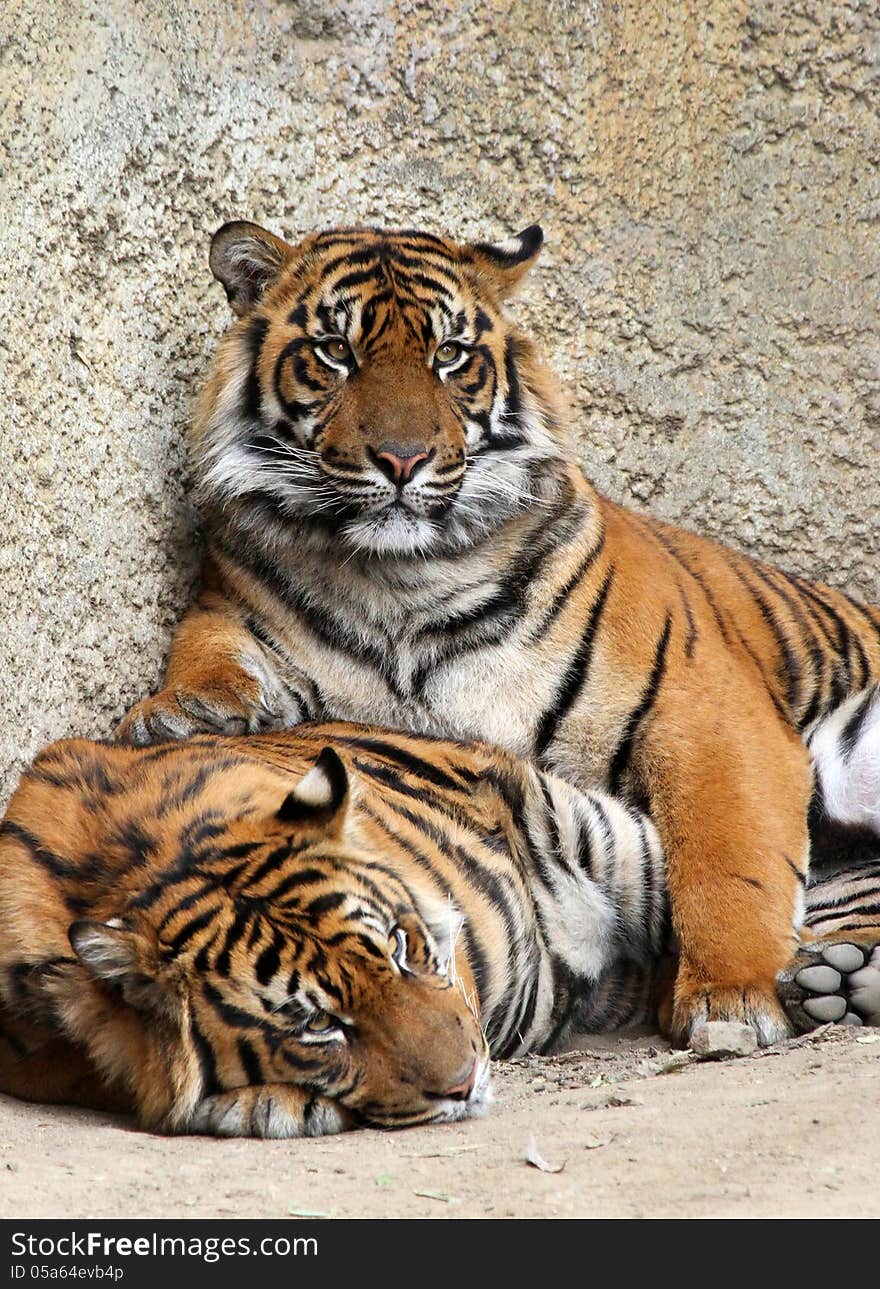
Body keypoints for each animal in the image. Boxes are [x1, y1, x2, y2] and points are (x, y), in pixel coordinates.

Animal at [1, 726, 880, 1139]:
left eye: (398, 946)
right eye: (318, 1025)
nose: (466, 1080)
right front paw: (269, 1103)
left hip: (609, 839)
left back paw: (838, 978)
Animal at [118, 219, 880, 1046]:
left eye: (449, 354)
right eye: (336, 351)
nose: (403, 459)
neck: (399, 581)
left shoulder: (705, 708)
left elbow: (726, 854)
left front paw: (731, 997)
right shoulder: (228, 600)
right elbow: (207, 644)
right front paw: (184, 712)